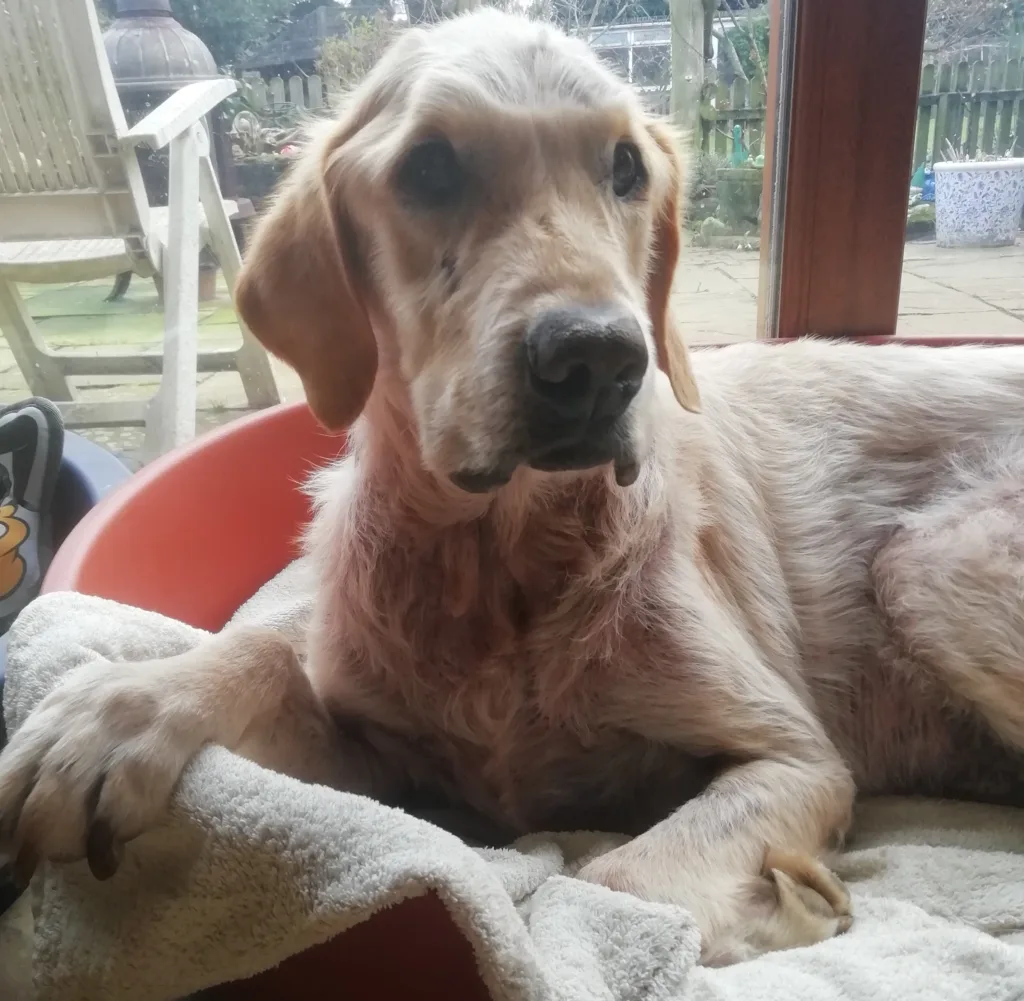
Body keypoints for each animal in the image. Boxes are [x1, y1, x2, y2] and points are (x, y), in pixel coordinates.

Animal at [2, 5, 1024, 958]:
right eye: (428, 168)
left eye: (625, 167)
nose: (599, 361)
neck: (498, 557)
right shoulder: (392, 765)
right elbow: (269, 653)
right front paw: (125, 707)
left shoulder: (797, 755)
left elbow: (614, 881)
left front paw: (784, 904)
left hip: (928, 563)